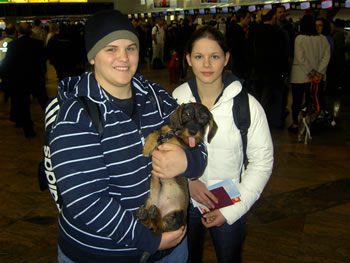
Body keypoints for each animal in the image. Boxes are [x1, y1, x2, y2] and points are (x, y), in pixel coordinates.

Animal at [136, 102, 216, 235]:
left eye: (204, 118)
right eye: (187, 114)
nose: (193, 132)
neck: (177, 131)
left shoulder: (185, 144)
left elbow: (174, 139)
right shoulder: (166, 129)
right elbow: (157, 130)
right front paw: (148, 146)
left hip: (176, 216)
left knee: (159, 228)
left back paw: (154, 216)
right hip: (149, 202)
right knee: (151, 226)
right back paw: (146, 215)